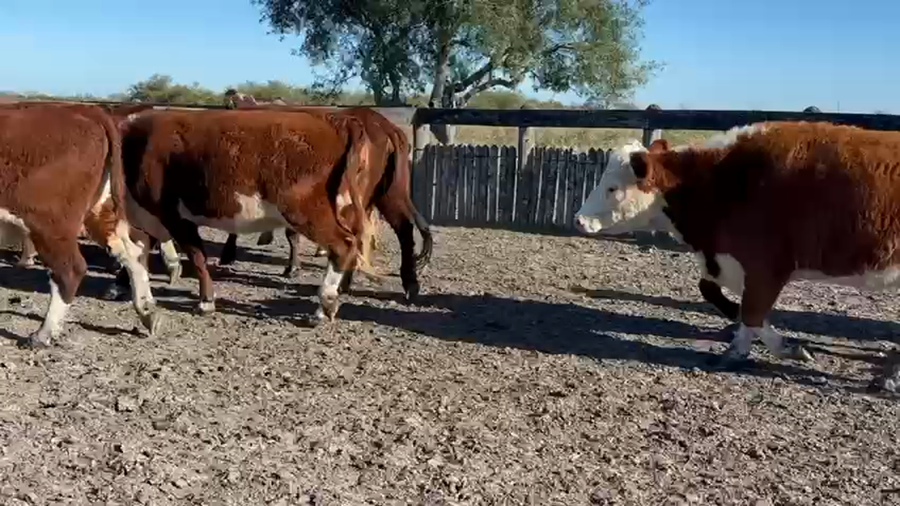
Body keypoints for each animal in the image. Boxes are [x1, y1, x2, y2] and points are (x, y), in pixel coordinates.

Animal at [0, 101, 162, 347]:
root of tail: (86, 111)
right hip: (99, 211)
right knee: (132, 251)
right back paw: (147, 311)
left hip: (49, 224)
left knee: (71, 270)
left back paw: (43, 334)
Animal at [114, 107, 387, 323]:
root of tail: (335, 121)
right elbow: (139, 253)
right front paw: (122, 283)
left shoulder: (173, 215)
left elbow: (197, 257)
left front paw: (205, 302)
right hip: (344, 207)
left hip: (307, 211)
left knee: (343, 245)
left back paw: (324, 305)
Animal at [574, 121, 900, 374]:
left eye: (612, 188)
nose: (579, 220)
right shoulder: (725, 259)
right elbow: (717, 293)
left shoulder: (765, 265)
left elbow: (753, 311)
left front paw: (761, 349)